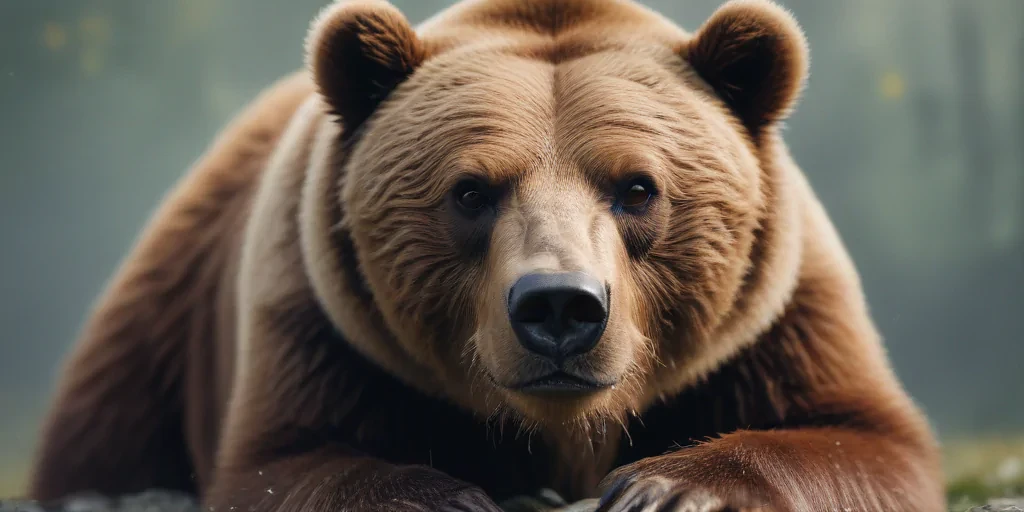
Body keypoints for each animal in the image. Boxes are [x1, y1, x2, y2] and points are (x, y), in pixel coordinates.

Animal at [26, 0, 945, 510]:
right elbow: (282, 461)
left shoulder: (777, 315)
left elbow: (864, 441)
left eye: (638, 188)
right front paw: (441, 498)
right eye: (470, 191)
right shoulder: (316, 314)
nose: (560, 308)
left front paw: (668, 486)